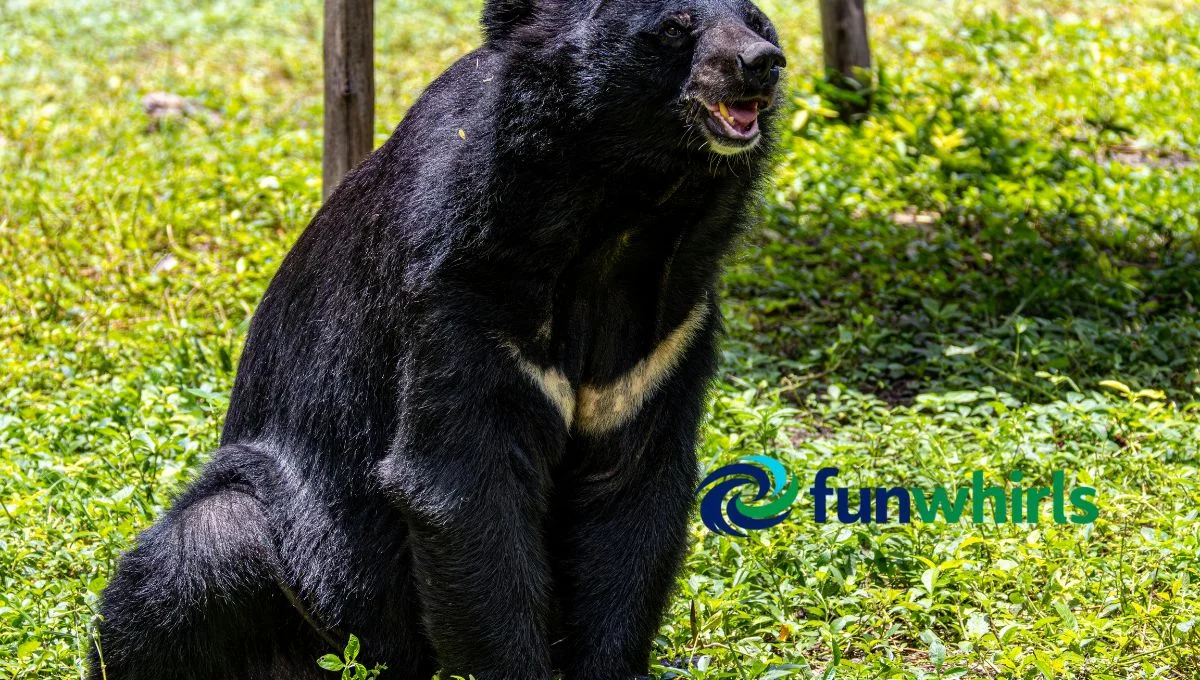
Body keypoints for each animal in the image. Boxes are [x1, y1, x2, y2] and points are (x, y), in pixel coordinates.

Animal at [90, 0, 785, 678]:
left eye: (758, 23)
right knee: (199, 553)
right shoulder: (462, 289)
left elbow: (632, 486)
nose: (761, 63)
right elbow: (462, 486)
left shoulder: (665, 333)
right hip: (306, 574)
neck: (623, 218)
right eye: (674, 28)